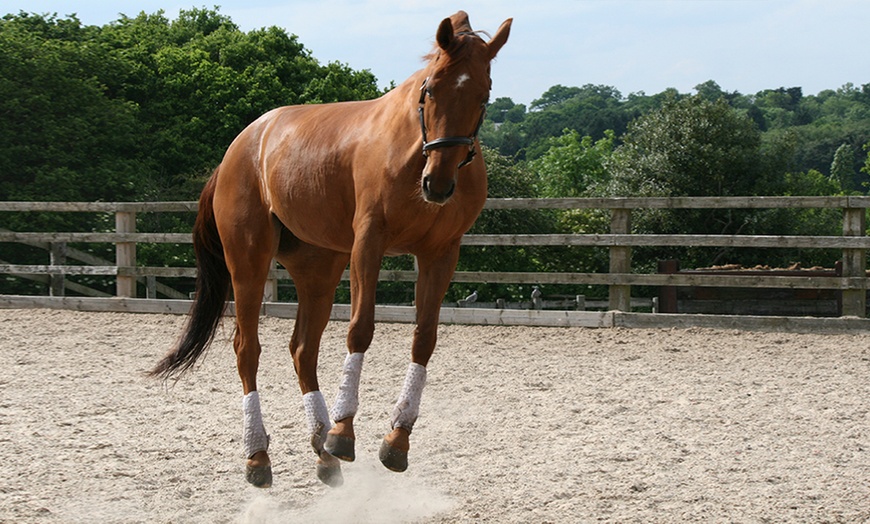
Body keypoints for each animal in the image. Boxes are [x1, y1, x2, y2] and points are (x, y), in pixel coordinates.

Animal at [153, 10, 516, 490]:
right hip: (248, 261)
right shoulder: (368, 242)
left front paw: (396, 440)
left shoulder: (441, 252)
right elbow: (360, 329)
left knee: (302, 351)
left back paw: (322, 451)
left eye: (483, 95)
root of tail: (239, 147)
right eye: (431, 89)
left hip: (318, 269)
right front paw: (345, 431)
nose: (437, 183)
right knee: (247, 349)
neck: (411, 150)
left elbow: (424, 339)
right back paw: (260, 455)